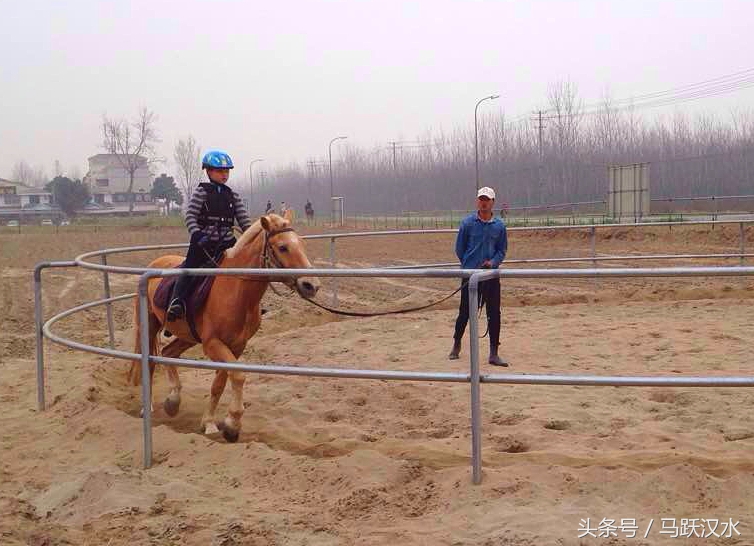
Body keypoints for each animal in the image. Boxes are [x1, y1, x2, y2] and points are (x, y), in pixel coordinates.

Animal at [128, 214, 320, 442]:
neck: (236, 289)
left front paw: (210, 423)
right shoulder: (213, 344)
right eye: (283, 247)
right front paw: (231, 424)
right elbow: (238, 376)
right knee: (148, 363)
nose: (311, 285)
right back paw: (147, 408)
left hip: (187, 336)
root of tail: (156, 263)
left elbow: (219, 383)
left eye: (302, 244)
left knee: (168, 352)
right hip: (148, 327)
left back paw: (173, 401)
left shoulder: (235, 346)